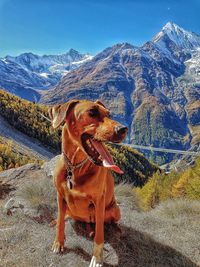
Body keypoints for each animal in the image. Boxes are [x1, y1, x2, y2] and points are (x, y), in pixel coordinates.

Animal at [48, 100, 128, 267]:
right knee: (67, 216)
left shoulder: (98, 200)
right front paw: (58, 242)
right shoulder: (60, 195)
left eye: (109, 114)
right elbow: (60, 222)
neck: (75, 167)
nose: (123, 129)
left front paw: (97, 258)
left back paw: (115, 228)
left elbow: (99, 234)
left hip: (114, 209)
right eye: (92, 112)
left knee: (110, 222)